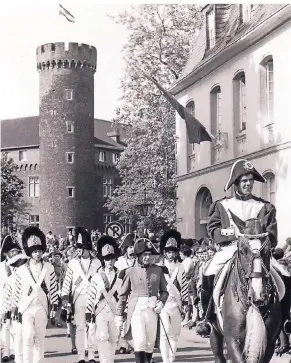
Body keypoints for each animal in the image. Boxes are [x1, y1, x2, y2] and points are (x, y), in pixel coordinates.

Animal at [211, 213, 284, 363]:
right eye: (242, 250)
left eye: (268, 251)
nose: (258, 296)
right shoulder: (232, 340)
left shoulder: (269, 343)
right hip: (215, 333)